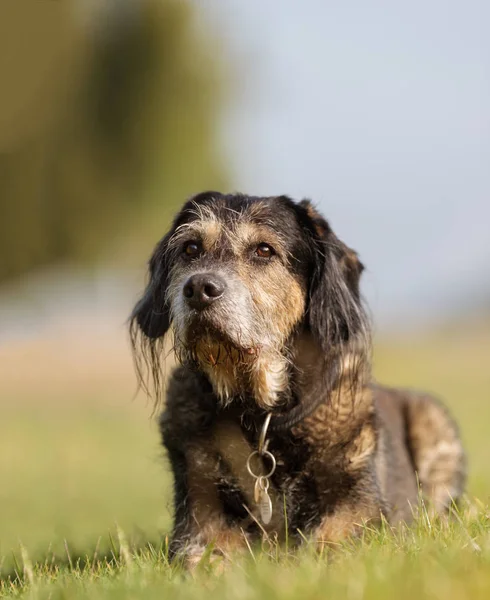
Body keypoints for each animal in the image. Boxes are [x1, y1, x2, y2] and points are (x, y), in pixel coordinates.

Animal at [128, 192, 466, 568]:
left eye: (264, 250)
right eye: (190, 248)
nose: (199, 288)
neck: (260, 416)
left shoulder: (359, 509)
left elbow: (330, 543)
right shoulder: (199, 513)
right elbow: (204, 555)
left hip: (434, 420)